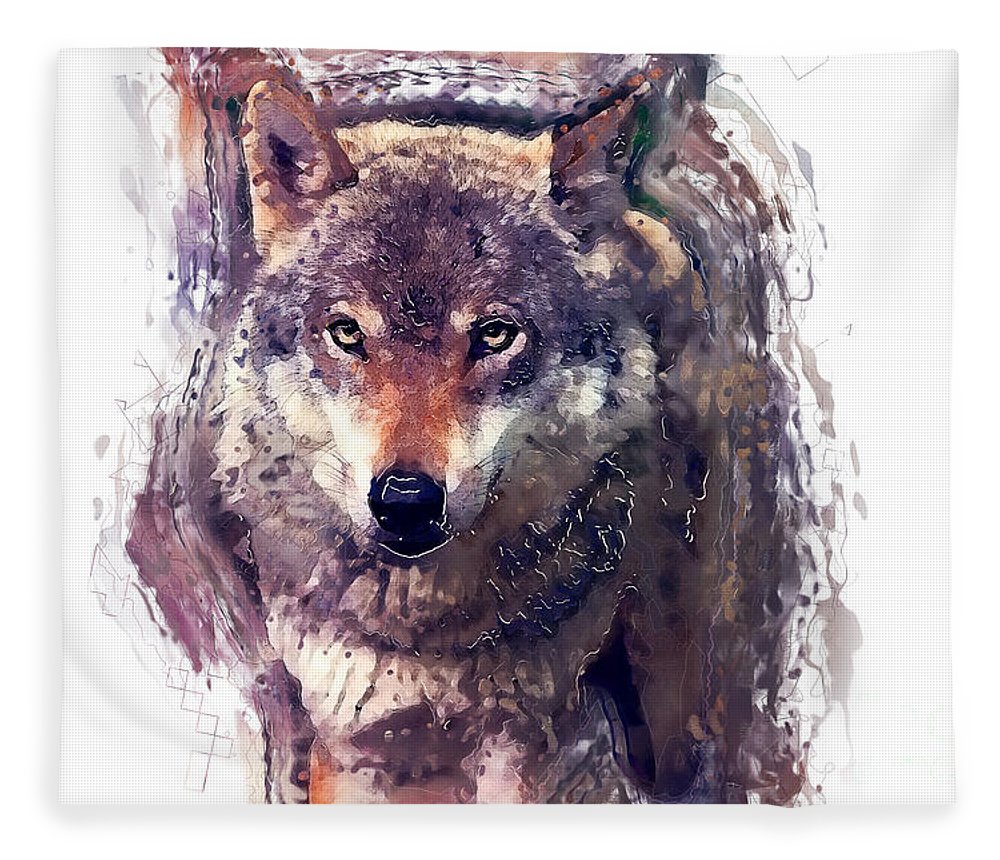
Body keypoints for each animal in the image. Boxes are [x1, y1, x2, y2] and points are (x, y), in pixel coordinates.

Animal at [126, 52, 838, 803]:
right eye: (346, 333)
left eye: (496, 335)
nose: (406, 500)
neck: (425, 632)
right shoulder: (349, 739)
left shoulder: (521, 735)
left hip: (669, 685)